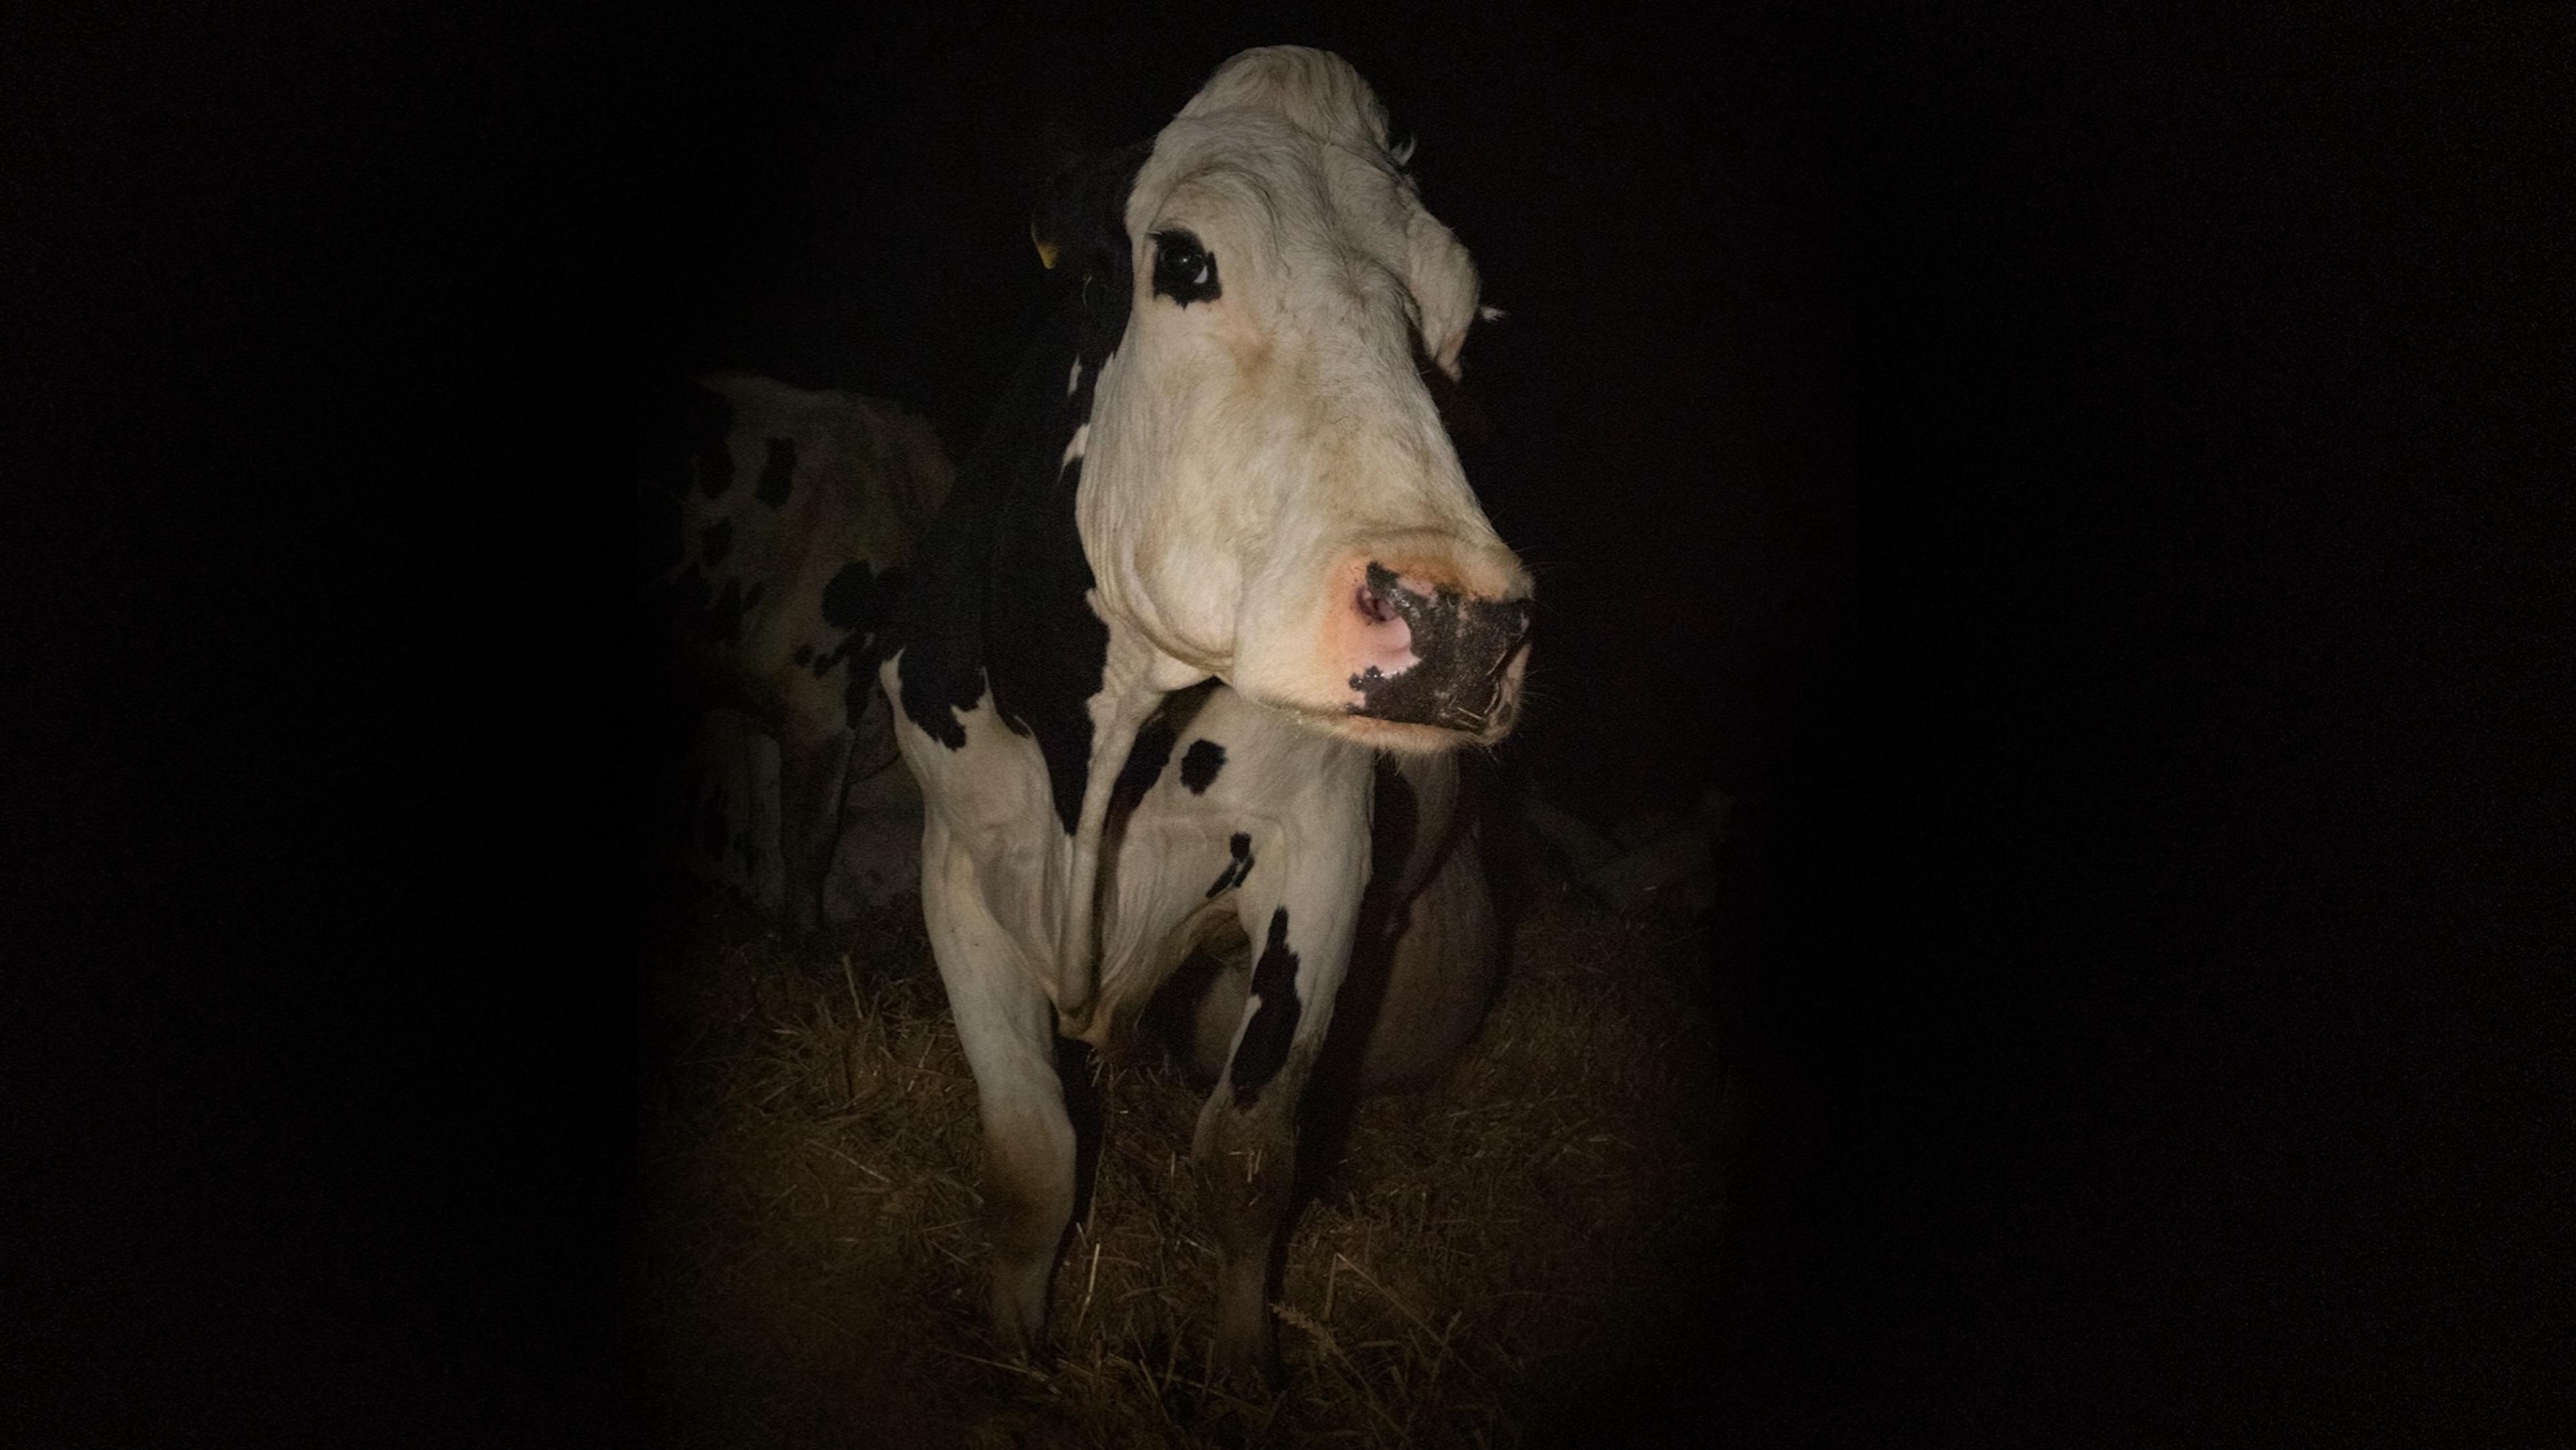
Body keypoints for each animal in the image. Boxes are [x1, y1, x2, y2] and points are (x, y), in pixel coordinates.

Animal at [880, 47, 1533, 1381]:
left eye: (1457, 323)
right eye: (1184, 259)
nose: (1462, 625)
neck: (1095, 761)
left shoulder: (1320, 850)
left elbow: (1244, 1156)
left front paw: (1239, 1374)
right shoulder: (957, 860)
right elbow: (1029, 1159)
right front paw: (1016, 1354)